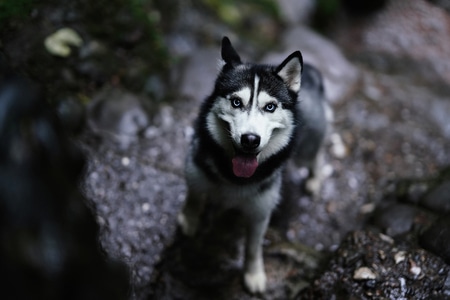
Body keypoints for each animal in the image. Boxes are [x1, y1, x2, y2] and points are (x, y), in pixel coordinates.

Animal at [177, 37, 326, 292]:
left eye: (270, 107)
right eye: (237, 102)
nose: (250, 139)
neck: (234, 178)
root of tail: (312, 75)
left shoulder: (260, 212)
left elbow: (253, 248)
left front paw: (253, 274)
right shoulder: (195, 169)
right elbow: (195, 197)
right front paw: (189, 220)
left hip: (307, 146)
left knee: (316, 154)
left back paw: (315, 178)